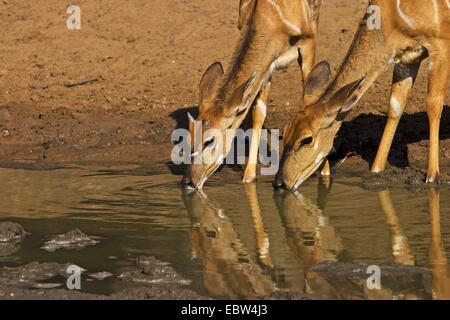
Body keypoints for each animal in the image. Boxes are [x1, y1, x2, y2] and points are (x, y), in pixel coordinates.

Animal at [181, 0, 322, 189]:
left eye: (209, 141)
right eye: (189, 136)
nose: (187, 181)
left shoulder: (309, 41)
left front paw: (324, 171)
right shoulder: (267, 66)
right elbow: (258, 113)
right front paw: (248, 177)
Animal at [274, 0, 450, 190]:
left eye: (306, 139)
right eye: (285, 131)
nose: (279, 183)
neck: (392, 14)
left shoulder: (441, 48)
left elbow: (433, 104)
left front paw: (432, 177)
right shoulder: (407, 59)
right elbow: (395, 107)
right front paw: (375, 170)